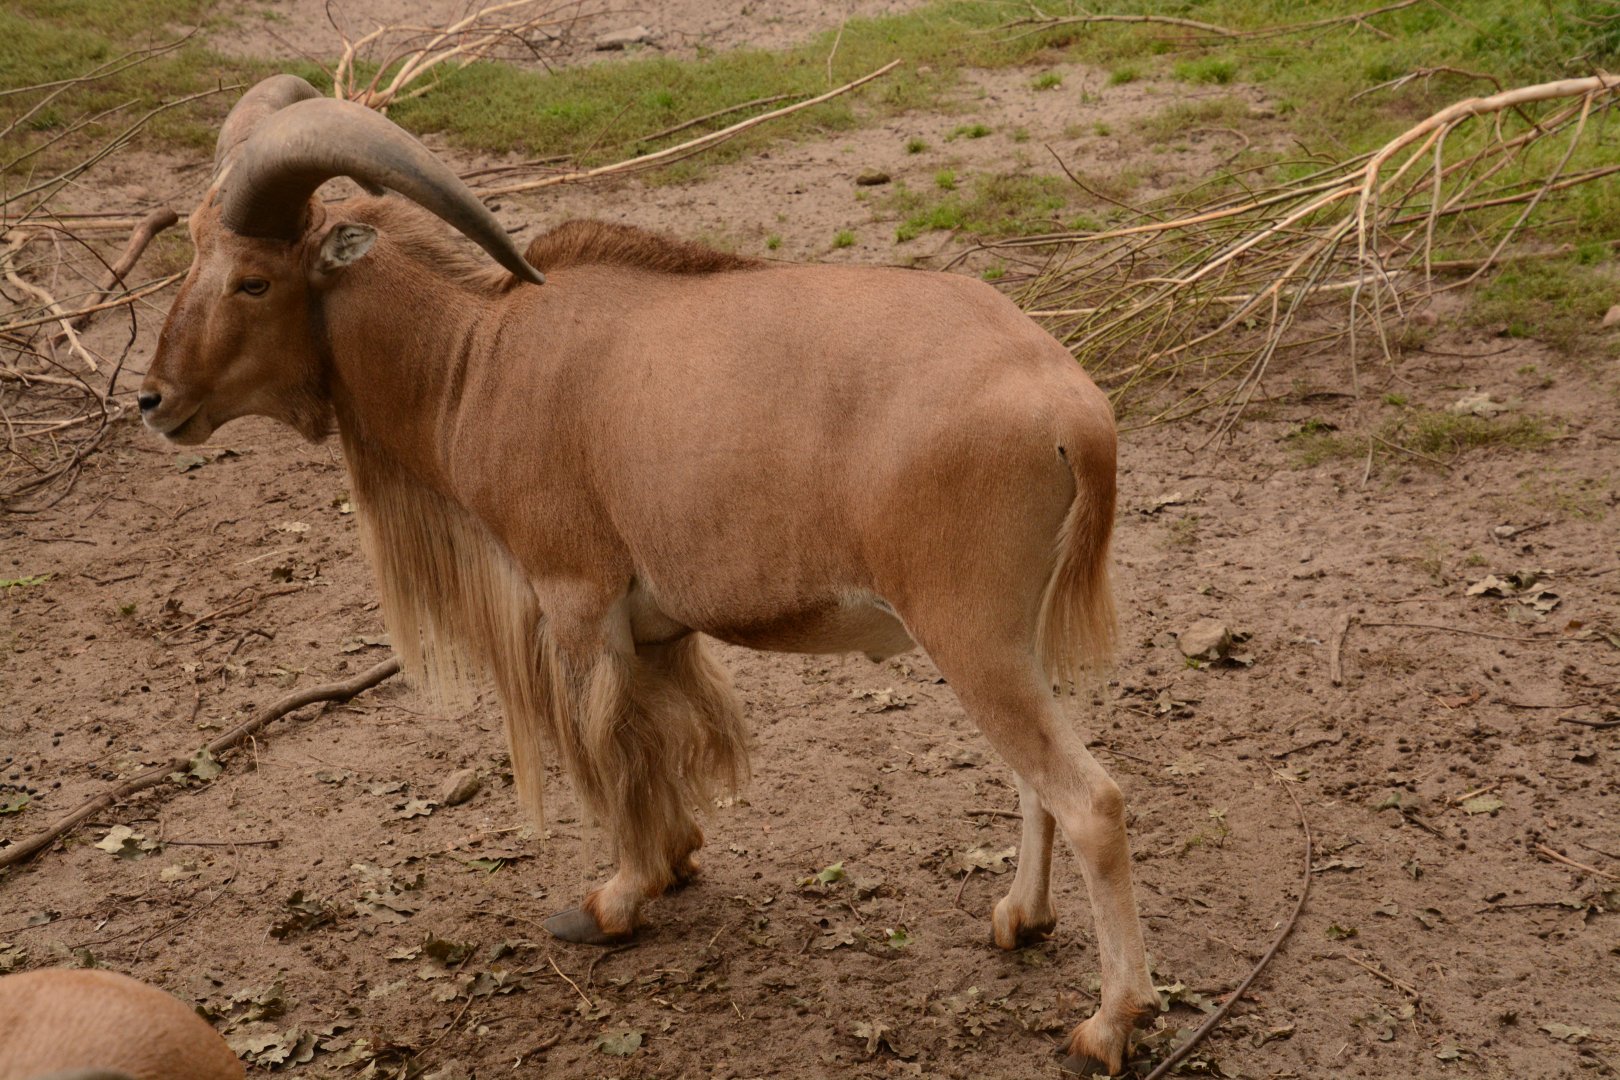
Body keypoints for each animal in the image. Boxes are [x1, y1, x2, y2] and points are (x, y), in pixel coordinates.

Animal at [139, 74, 1158, 1074]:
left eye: (253, 279)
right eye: (188, 257)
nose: (155, 401)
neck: (478, 356)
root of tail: (1074, 409)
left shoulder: (574, 601)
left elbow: (610, 749)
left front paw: (616, 899)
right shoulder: (659, 629)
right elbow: (657, 743)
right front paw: (677, 861)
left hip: (968, 632)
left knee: (1092, 800)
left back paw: (1108, 1024)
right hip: (1011, 638)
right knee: (1036, 783)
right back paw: (1020, 920)